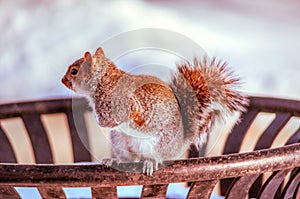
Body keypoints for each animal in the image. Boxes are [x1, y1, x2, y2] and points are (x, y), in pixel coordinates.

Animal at [61, 47, 248, 175]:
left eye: (74, 71)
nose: (62, 80)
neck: (103, 81)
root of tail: (180, 142)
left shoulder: (120, 104)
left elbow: (109, 120)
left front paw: (95, 117)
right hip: (120, 141)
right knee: (129, 159)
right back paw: (114, 160)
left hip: (157, 143)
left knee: (154, 158)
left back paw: (150, 163)